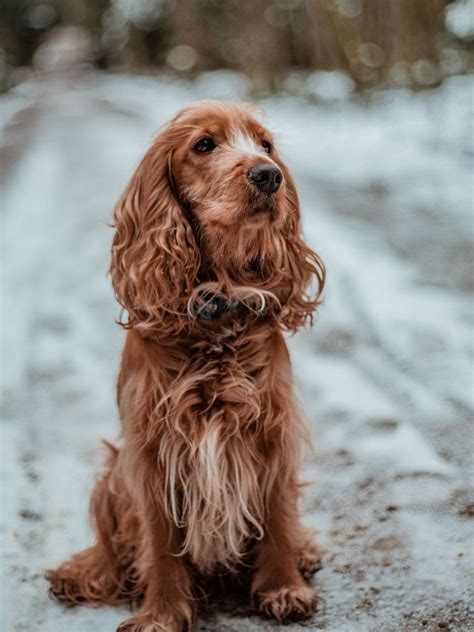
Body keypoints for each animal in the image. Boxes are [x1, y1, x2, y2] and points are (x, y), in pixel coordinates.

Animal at [45, 101, 326, 628]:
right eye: (203, 145)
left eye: (265, 144)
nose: (269, 175)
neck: (217, 316)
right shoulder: (153, 451)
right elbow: (159, 543)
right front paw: (159, 614)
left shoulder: (272, 429)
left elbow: (277, 515)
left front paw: (284, 587)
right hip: (111, 474)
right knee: (112, 548)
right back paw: (80, 573)